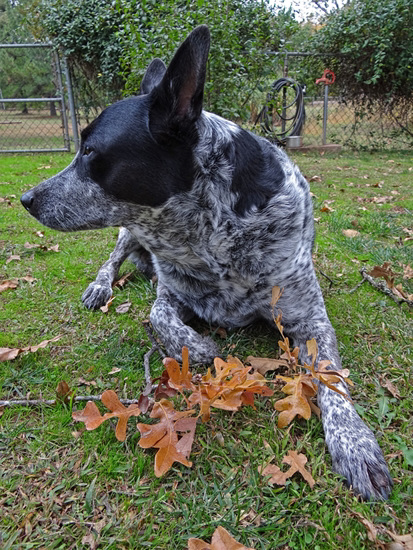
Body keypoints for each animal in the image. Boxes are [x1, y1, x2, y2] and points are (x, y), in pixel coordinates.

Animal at [21, 25, 390, 502]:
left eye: (89, 150)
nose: (25, 199)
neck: (213, 233)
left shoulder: (310, 319)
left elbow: (330, 377)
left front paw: (356, 444)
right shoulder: (171, 293)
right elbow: (160, 317)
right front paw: (201, 348)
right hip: (126, 232)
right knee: (112, 260)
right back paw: (101, 285)